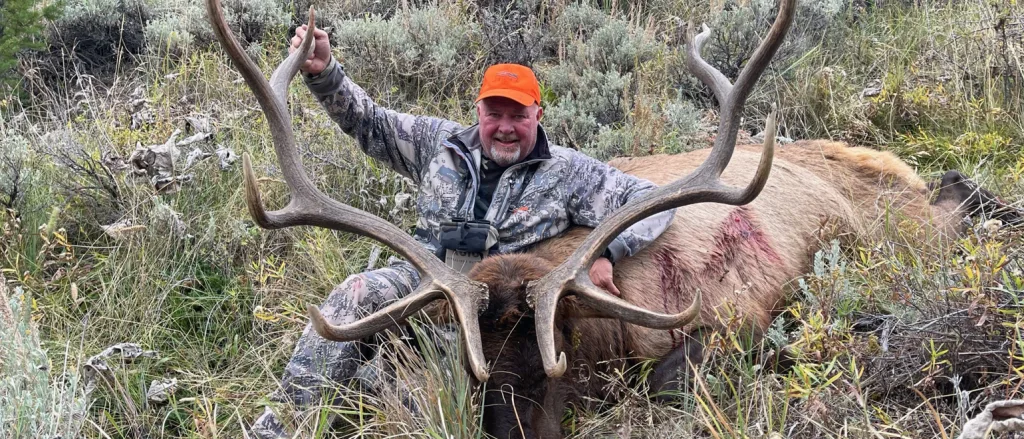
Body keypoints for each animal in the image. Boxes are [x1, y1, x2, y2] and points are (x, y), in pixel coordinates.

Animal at [207, 0, 1021, 437]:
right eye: (474, 366)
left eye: (557, 344)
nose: (512, 427)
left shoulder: (724, 323)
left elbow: (673, 381)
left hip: (909, 233)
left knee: (958, 197)